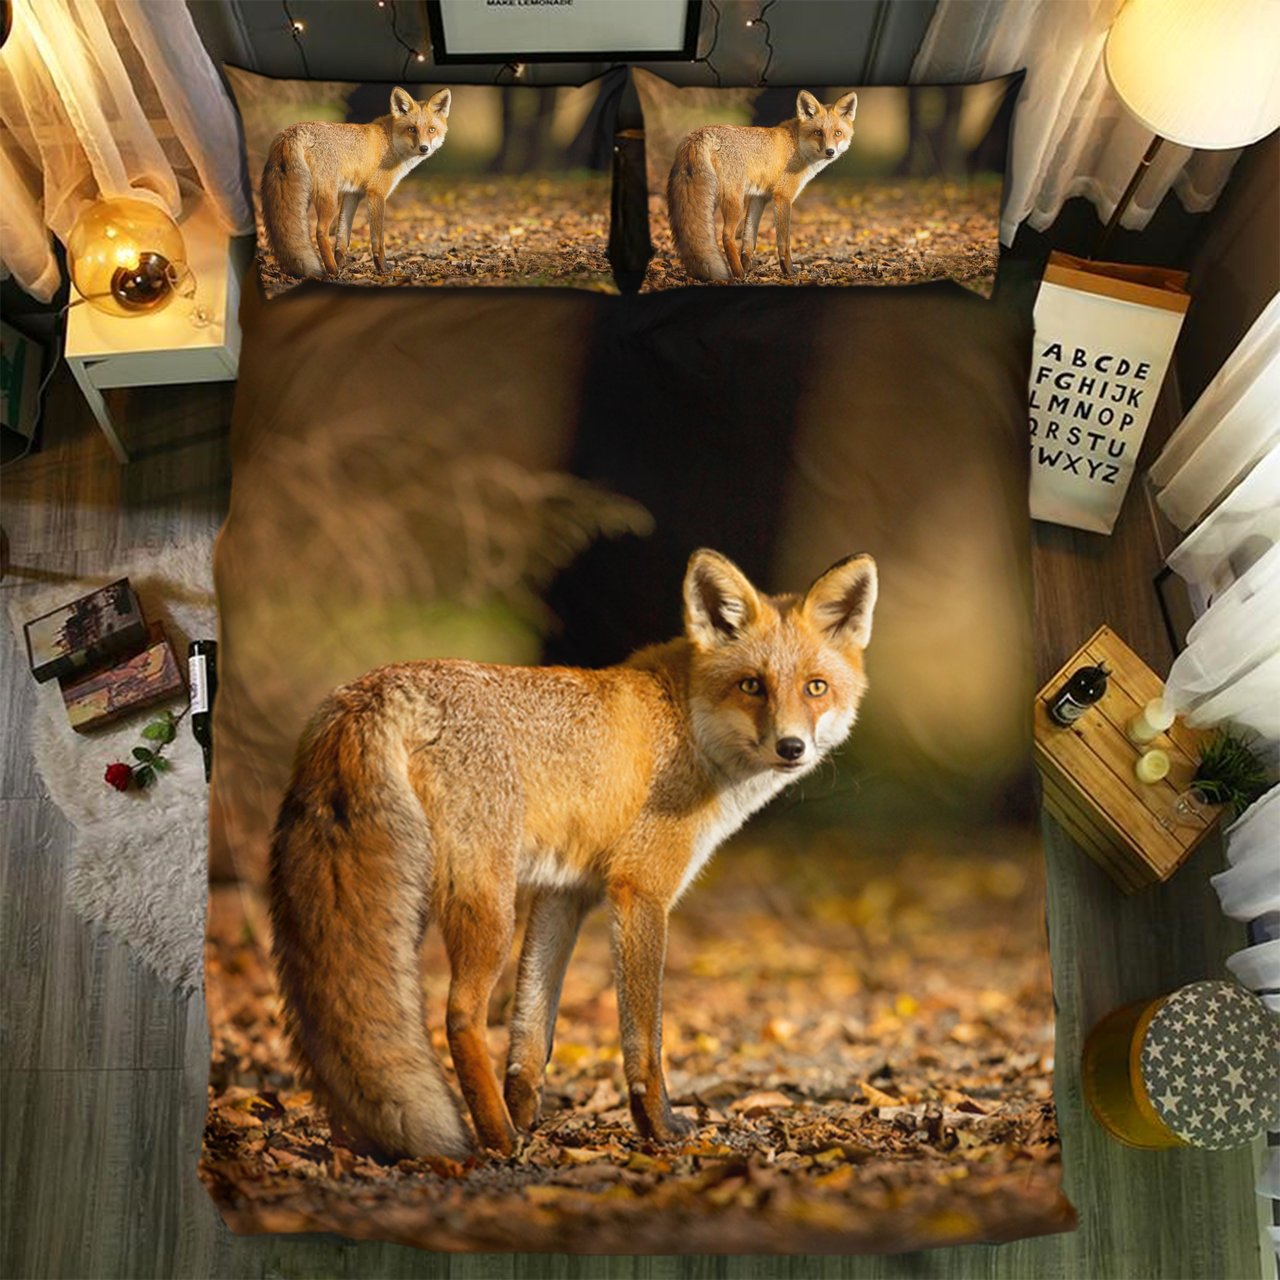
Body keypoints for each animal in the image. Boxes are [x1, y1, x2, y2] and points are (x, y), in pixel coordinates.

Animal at [261, 86, 451, 279]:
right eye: (412, 129)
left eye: (432, 130)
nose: (424, 148)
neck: (390, 142)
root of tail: (291, 132)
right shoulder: (376, 193)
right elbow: (378, 239)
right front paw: (382, 268)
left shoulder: (352, 194)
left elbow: (343, 238)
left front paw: (342, 264)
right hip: (329, 200)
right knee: (320, 232)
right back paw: (332, 270)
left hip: (303, 198)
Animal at [268, 548, 877, 1160]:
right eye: (752, 685)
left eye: (816, 688)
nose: (792, 747)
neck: (687, 725)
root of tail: (372, 691)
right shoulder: (639, 889)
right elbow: (644, 1036)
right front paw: (657, 1127)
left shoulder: (564, 892)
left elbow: (532, 1033)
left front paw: (527, 1113)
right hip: (485, 905)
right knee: (460, 1016)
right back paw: (497, 1139)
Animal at [667, 89, 857, 282]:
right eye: (818, 132)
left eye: (838, 133)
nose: (830, 151)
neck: (797, 145)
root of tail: (699, 134)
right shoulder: (782, 196)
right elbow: (784, 242)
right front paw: (788, 272)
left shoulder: (758, 198)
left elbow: (749, 242)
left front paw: (748, 268)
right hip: (734, 203)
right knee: (726, 235)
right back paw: (738, 275)